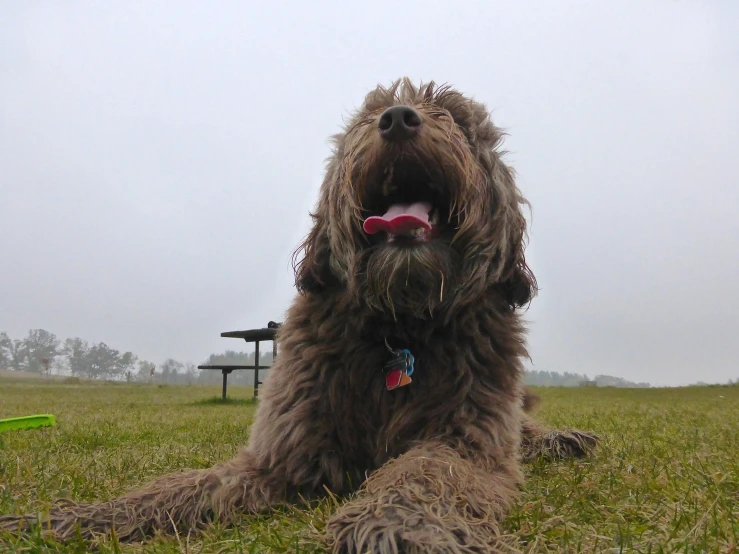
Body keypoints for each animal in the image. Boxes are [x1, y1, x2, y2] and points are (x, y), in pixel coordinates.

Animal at [0, 78, 600, 552]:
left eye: (451, 114)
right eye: (368, 116)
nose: (398, 119)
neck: (401, 325)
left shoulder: (466, 440)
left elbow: (424, 471)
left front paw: (399, 525)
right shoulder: (282, 454)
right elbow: (183, 488)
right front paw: (71, 519)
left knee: (523, 429)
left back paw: (563, 439)